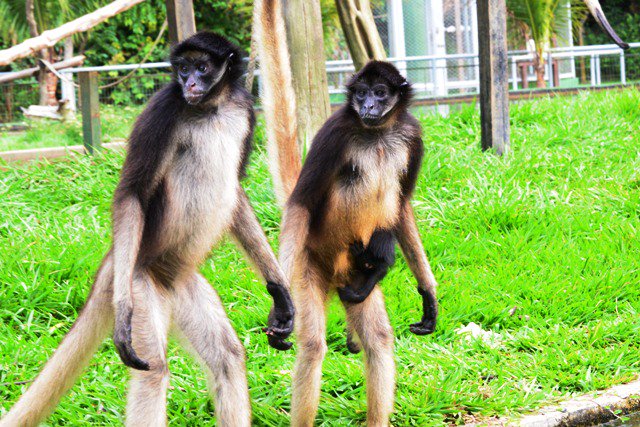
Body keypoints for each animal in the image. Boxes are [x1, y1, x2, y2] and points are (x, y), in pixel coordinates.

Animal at [0, 32, 294, 427]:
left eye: (202, 67)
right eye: (182, 68)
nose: (190, 84)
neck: (212, 108)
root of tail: (118, 260)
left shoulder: (245, 109)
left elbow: (236, 190)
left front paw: (280, 292)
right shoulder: (164, 107)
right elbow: (132, 193)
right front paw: (122, 314)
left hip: (184, 286)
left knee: (229, 357)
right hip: (139, 279)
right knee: (154, 370)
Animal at [282, 61, 440, 427]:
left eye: (380, 93)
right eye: (362, 93)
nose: (367, 106)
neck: (378, 132)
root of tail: (337, 277)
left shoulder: (412, 133)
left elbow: (402, 205)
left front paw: (428, 294)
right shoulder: (335, 130)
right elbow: (301, 203)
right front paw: (277, 305)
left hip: (354, 276)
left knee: (379, 340)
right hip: (309, 262)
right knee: (313, 346)